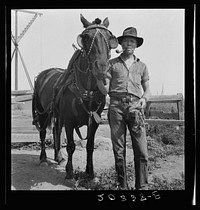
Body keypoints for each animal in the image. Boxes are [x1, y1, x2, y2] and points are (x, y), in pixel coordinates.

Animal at [32, 13, 118, 180]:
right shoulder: (70, 120)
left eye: (110, 37)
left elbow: (90, 146)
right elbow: (71, 145)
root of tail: (42, 74)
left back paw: (58, 157)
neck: (86, 90)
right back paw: (43, 158)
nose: (101, 68)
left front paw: (90, 172)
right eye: (85, 37)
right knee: (43, 132)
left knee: (56, 131)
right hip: (43, 112)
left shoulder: (94, 121)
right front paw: (70, 172)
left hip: (57, 114)